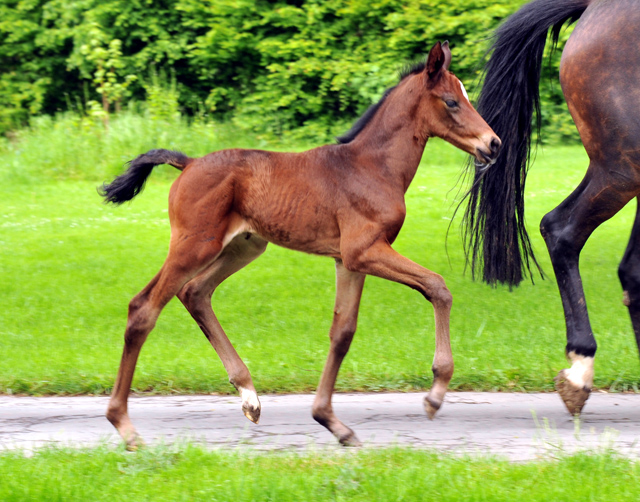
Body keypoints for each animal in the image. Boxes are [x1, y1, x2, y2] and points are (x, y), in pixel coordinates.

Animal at [101, 43, 500, 450]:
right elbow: (437, 286)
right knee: (144, 309)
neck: (373, 167)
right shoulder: (364, 250)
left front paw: (331, 422)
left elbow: (343, 332)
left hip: (243, 247)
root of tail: (189, 162)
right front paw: (435, 393)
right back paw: (125, 427)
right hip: (195, 245)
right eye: (451, 101)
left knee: (194, 292)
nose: (493, 143)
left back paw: (249, 397)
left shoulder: (348, 260)